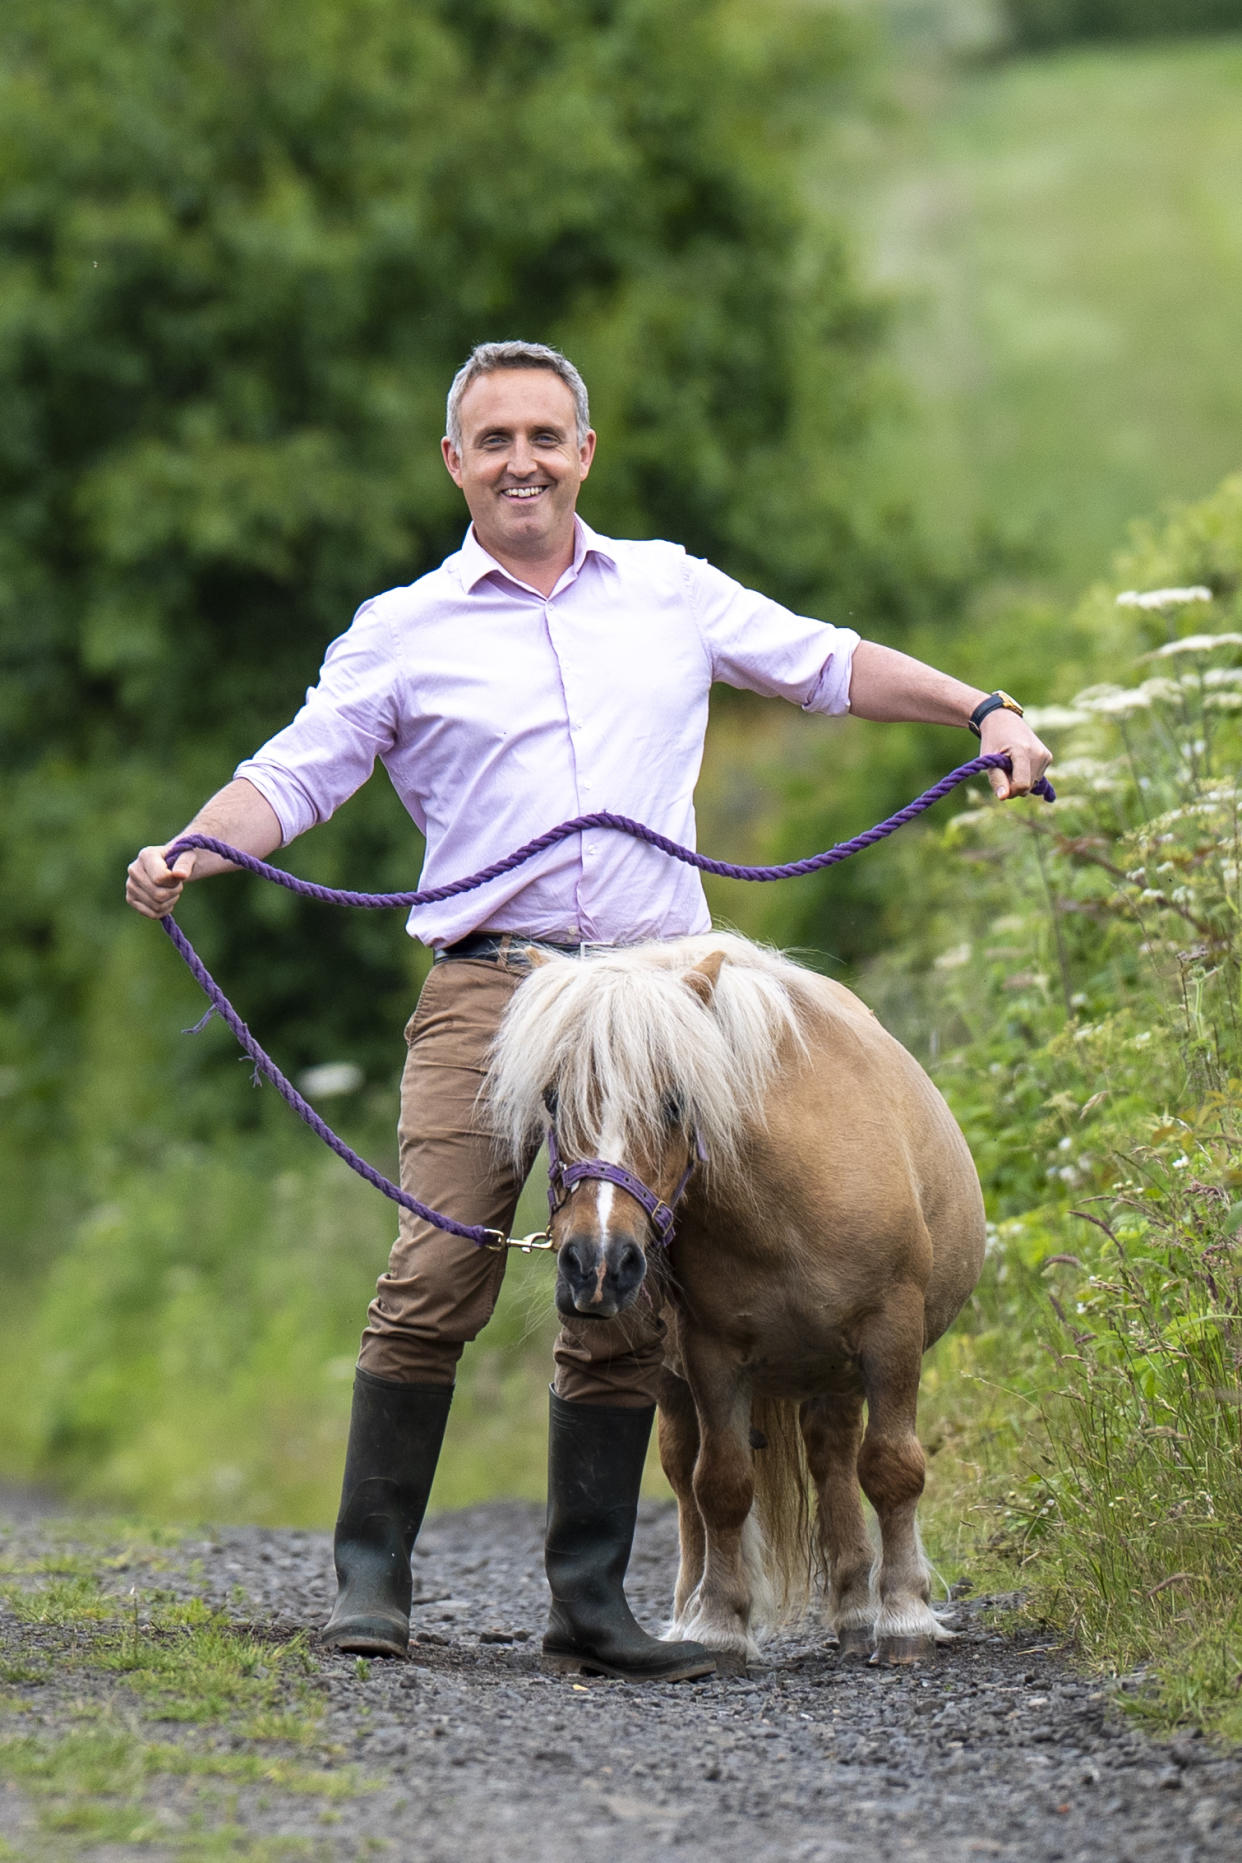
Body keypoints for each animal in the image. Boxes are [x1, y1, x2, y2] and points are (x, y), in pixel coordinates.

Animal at [491, 938, 983, 1669]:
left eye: (676, 1102)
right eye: (552, 1099)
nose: (596, 1263)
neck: (786, 1202)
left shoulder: (889, 1333)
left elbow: (892, 1468)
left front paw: (904, 1617)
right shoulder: (710, 1354)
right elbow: (718, 1484)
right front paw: (720, 1623)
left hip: (835, 1371)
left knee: (836, 1458)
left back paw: (856, 1609)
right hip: (677, 1381)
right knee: (685, 1472)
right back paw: (685, 1616)